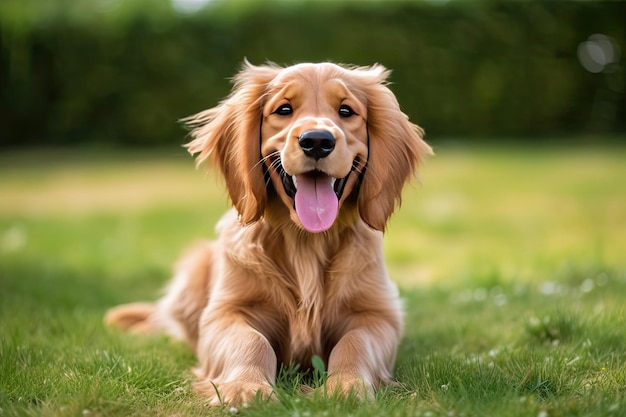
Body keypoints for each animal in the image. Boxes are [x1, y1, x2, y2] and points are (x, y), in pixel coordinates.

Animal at [105, 61, 432, 404]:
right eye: (284, 109)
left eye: (346, 111)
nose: (317, 141)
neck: (306, 240)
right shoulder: (226, 311)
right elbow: (250, 340)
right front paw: (245, 387)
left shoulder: (378, 314)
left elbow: (355, 342)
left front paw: (347, 385)